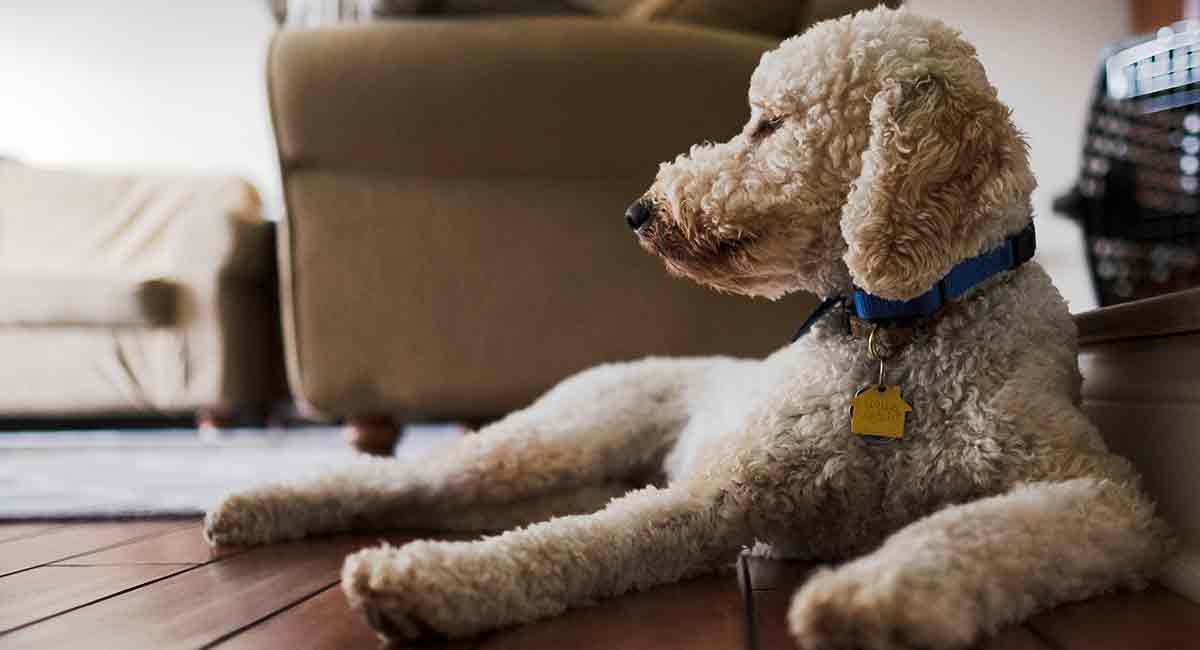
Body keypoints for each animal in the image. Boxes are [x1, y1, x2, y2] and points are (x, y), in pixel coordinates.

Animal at [208, 7, 1171, 647]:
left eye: (768, 124)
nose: (640, 211)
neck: (901, 331)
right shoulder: (722, 492)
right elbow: (578, 543)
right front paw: (431, 581)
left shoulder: (1096, 494)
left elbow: (974, 532)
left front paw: (881, 598)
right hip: (554, 440)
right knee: (412, 481)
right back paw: (256, 505)